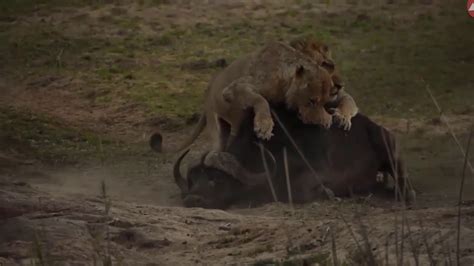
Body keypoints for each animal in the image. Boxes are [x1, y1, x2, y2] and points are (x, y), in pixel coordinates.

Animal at [152, 40, 334, 153]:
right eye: (312, 101)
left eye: (324, 102)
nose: (322, 124)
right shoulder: (233, 89)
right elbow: (261, 100)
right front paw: (264, 125)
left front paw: (327, 118)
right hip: (219, 129)